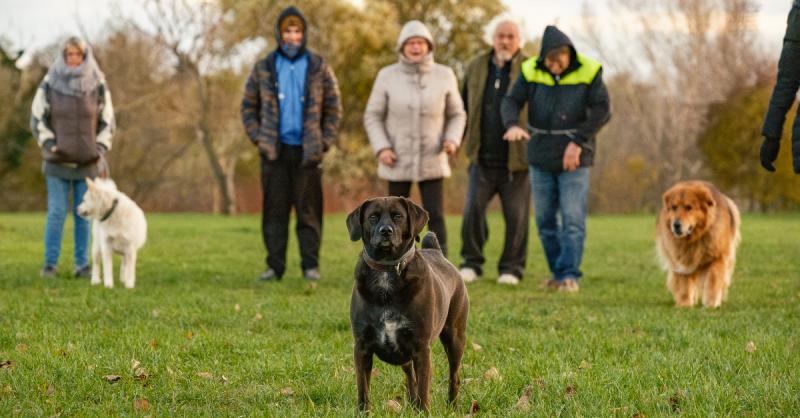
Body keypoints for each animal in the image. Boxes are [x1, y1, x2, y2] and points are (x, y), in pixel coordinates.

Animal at [346, 196, 468, 412]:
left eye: (398, 216)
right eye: (373, 217)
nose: (385, 231)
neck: (387, 272)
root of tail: (437, 252)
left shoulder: (421, 348)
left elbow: (424, 388)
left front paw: (424, 412)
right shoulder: (361, 347)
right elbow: (363, 389)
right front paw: (363, 412)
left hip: (455, 338)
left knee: (454, 376)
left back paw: (452, 407)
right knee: (410, 376)